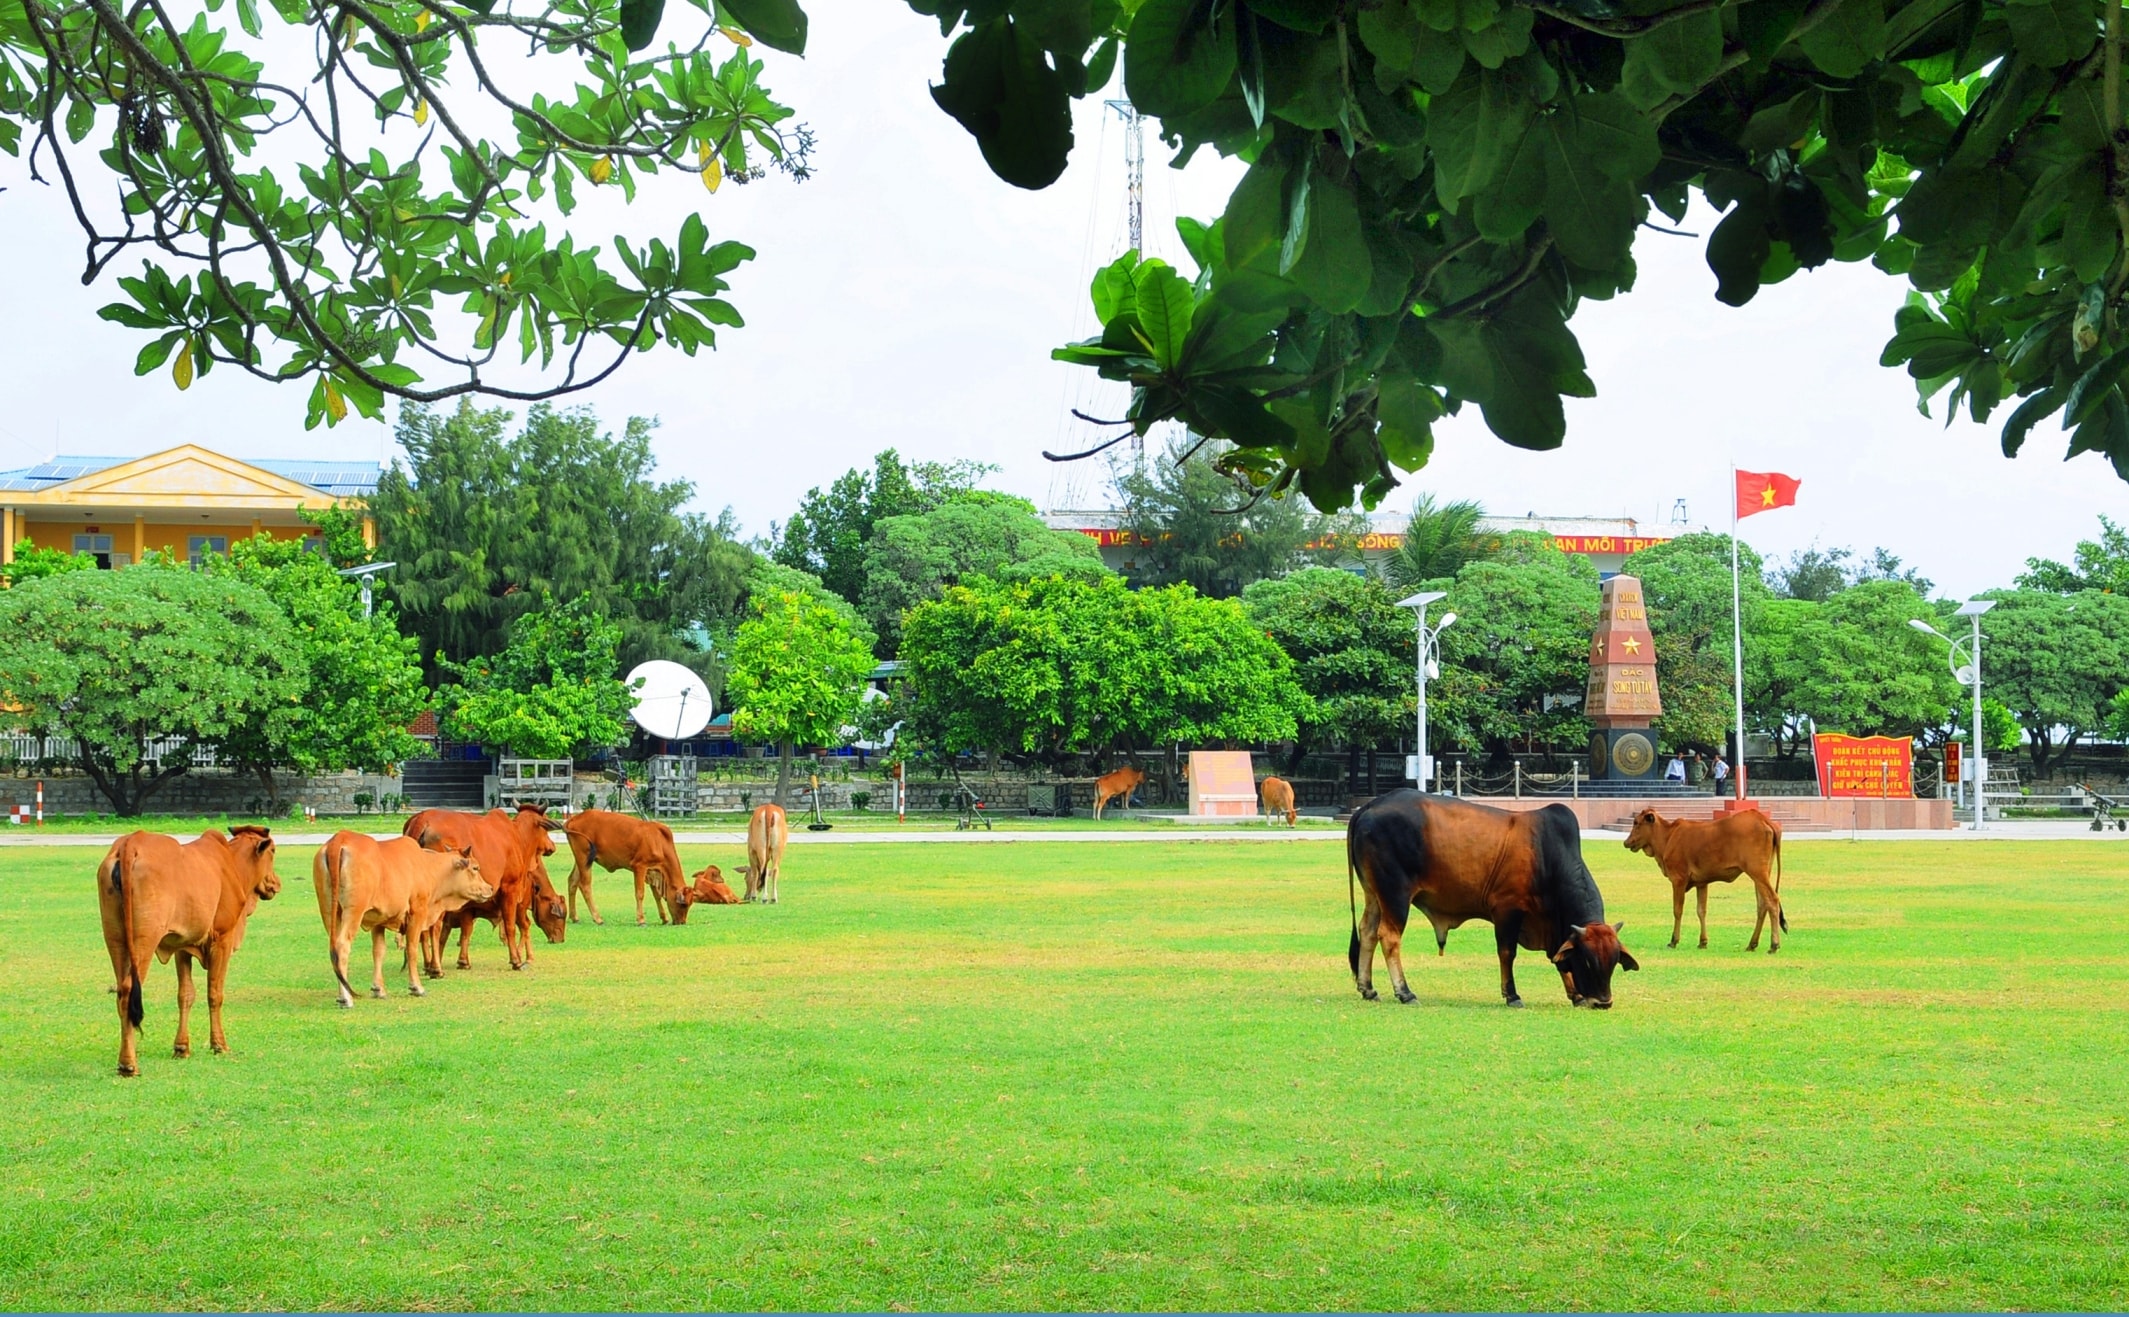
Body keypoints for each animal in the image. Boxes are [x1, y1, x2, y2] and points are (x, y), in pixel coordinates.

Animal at [97, 829, 287, 1076]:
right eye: (273, 850)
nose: (276, 883)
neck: (231, 865)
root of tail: (130, 843)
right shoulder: (222, 939)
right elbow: (215, 994)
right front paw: (219, 1045)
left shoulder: (182, 947)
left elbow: (185, 995)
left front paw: (181, 1047)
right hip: (145, 939)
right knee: (130, 990)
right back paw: (130, 1064)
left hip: (115, 938)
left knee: (121, 993)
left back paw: (123, 1062)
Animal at [310, 834, 489, 1008]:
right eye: (475, 868)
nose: (489, 888)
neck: (427, 866)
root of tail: (339, 839)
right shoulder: (417, 912)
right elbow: (412, 949)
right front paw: (416, 987)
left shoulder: (378, 920)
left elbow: (379, 951)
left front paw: (378, 989)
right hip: (353, 912)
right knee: (342, 947)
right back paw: (346, 998)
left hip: (330, 911)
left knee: (334, 948)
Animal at [406, 799, 566, 974]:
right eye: (545, 823)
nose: (552, 846)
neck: (517, 836)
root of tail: (421, 820)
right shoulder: (509, 889)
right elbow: (510, 926)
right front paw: (516, 960)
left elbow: (466, 930)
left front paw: (463, 961)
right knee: (433, 927)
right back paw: (435, 968)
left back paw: (426, 964)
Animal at [1345, 791, 1643, 1008]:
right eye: (1588, 961)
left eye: (1614, 962)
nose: (1603, 1003)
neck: (1547, 857)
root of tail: (1369, 806)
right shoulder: (1507, 910)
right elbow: (1507, 953)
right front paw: (1512, 995)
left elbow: (1558, 956)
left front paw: (1576, 995)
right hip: (1395, 894)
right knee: (1389, 936)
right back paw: (1405, 992)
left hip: (1374, 894)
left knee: (1368, 932)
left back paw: (1368, 988)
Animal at [1618, 808, 1788, 953]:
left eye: (1637, 823)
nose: (1626, 842)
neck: (1668, 837)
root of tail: (1763, 818)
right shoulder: (1702, 883)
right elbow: (1701, 911)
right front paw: (1703, 942)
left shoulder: (1678, 880)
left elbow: (1677, 910)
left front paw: (1674, 940)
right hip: (1761, 874)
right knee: (1762, 905)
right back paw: (1752, 944)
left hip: (1757, 872)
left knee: (1772, 900)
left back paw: (1774, 945)